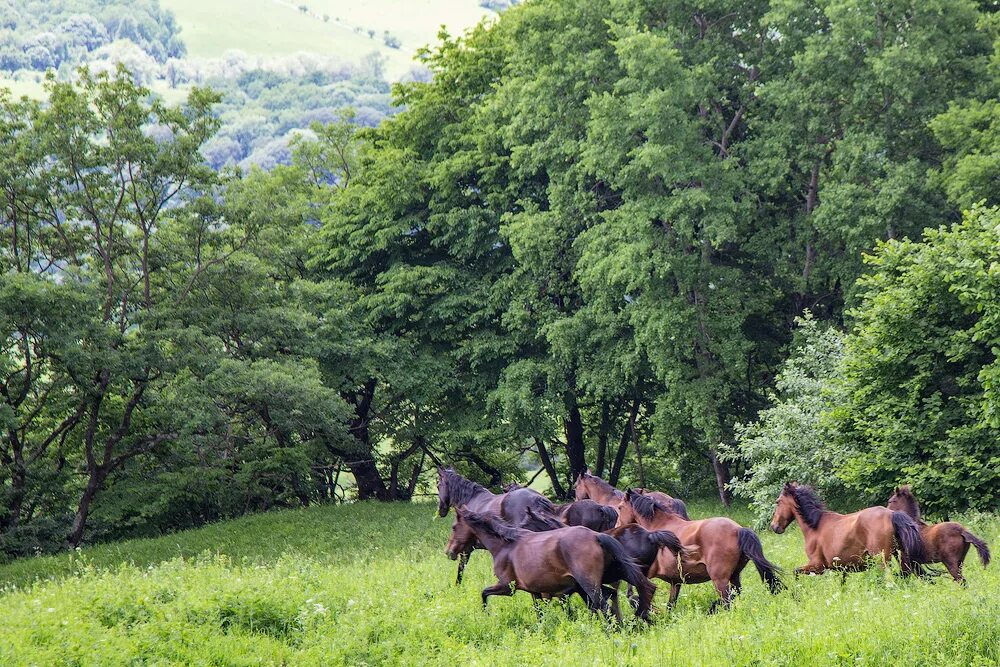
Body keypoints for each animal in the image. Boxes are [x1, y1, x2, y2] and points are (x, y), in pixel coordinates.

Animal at [456, 508, 656, 624]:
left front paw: (486, 615)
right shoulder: (538, 592)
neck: (505, 546)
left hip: (590, 584)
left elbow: (484, 593)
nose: (451, 550)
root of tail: (596, 536)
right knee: (629, 593)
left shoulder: (508, 587)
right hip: (609, 577)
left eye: (454, 526)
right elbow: (541, 613)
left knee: (604, 604)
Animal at [612, 488, 784, 612]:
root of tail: (738, 529)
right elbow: (671, 604)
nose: (615, 528)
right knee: (735, 594)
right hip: (734, 576)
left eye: (620, 507)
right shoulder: (675, 582)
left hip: (720, 580)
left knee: (727, 601)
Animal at [768, 482, 924, 576]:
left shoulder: (817, 566)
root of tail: (892, 514)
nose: (774, 526)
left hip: (881, 562)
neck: (815, 526)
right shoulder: (841, 569)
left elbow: (795, 572)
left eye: (778, 502)